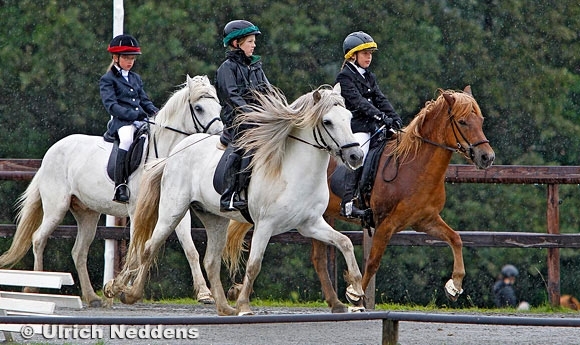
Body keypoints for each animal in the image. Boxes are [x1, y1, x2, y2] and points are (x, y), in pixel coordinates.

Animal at [0, 74, 222, 306]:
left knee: (79, 252)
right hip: (56, 209)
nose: (219, 137)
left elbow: (190, 249)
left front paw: (204, 294)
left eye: (219, 106)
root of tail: (51, 152)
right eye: (198, 108)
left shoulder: (175, 210)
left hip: (87, 213)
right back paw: (34, 289)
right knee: (38, 239)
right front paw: (121, 288)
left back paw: (91, 297)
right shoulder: (137, 211)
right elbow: (138, 249)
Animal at [103, 83, 368, 314]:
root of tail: (175, 153)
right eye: (327, 121)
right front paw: (244, 306)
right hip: (172, 212)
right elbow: (254, 265)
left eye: (348, 118)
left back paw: (223, 307)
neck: (294, 170)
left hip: (214, 219)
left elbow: (345, 242)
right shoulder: (265, 225)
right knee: (149, 247)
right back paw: (130, 294)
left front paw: (355, 291)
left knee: (210, 261)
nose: (356, 156)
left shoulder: (310, 224)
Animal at [227, 86, 494, 312]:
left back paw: (333, 302)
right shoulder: (387, 223)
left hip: (319, 216)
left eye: (480, 121)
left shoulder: (425, 221)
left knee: (318, 259)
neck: (414, 167)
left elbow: (456, 239)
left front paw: (455, 286)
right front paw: (356, 297)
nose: (487, 157)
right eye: (462, 122)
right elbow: (373, 261)